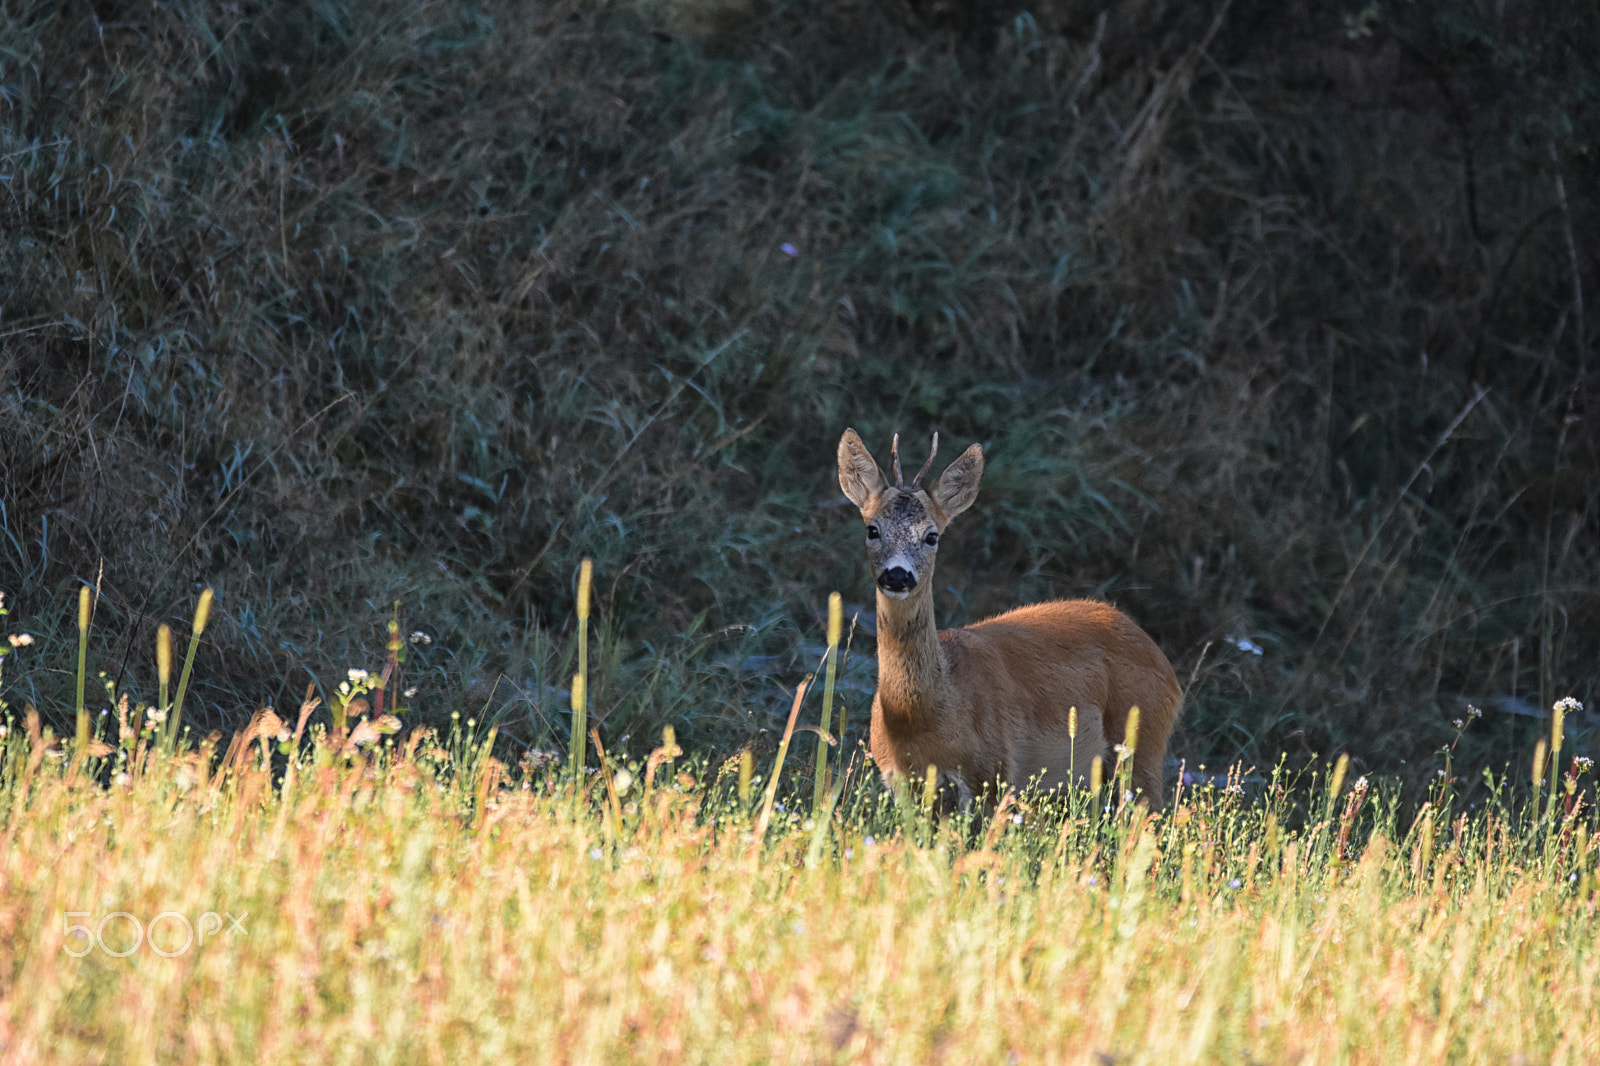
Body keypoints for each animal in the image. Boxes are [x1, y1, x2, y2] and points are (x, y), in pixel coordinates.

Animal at [844, 428, 1184, 800]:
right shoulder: (900, 783)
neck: (923, 714)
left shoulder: (994, 773)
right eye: (872, 529)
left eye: (931, 535)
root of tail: (1166, 667)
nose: (897, 575)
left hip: (1143, 746)